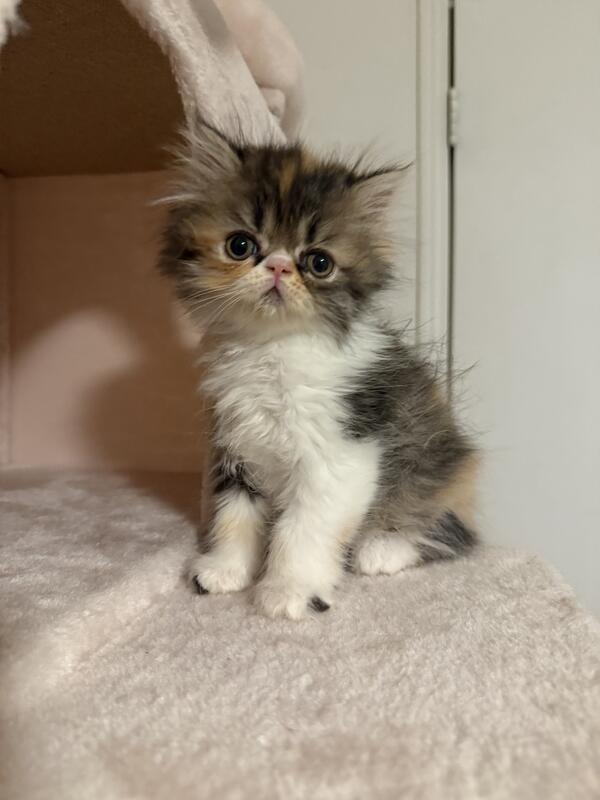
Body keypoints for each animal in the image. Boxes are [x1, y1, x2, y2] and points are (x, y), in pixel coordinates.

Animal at [159, 123, 478, 620]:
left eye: (319, 262)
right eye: (240, 245)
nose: (278, 266)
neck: (273, 349)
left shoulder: (341, 452)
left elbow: (302, 528)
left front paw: (288, 591)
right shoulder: (237, 446)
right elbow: (235, 514)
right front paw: (225, 570)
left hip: (436, 466)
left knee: (448, 527)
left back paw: (382, 548)